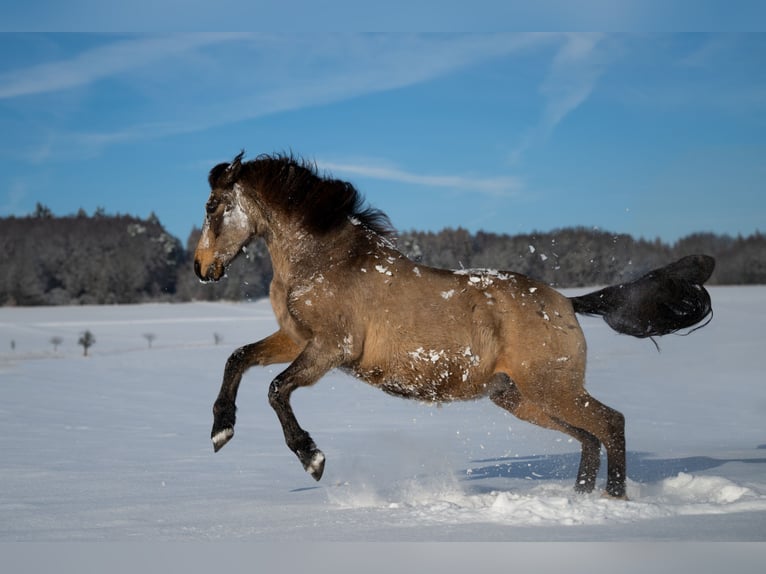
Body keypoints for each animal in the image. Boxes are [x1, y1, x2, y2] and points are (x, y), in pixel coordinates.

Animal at [195, 153, 716, 500]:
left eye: (213, 206)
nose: (203, 268)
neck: (321, 260)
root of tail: (566, 304)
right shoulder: (296, 339)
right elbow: (237, 358)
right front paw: (221, 430)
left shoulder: (329, 348)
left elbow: (277, 389)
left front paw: (312, 460)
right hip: (520, 398)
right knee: (590, 436)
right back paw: (582, 499)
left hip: (552, 388)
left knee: (611, 423)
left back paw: (612, 500)